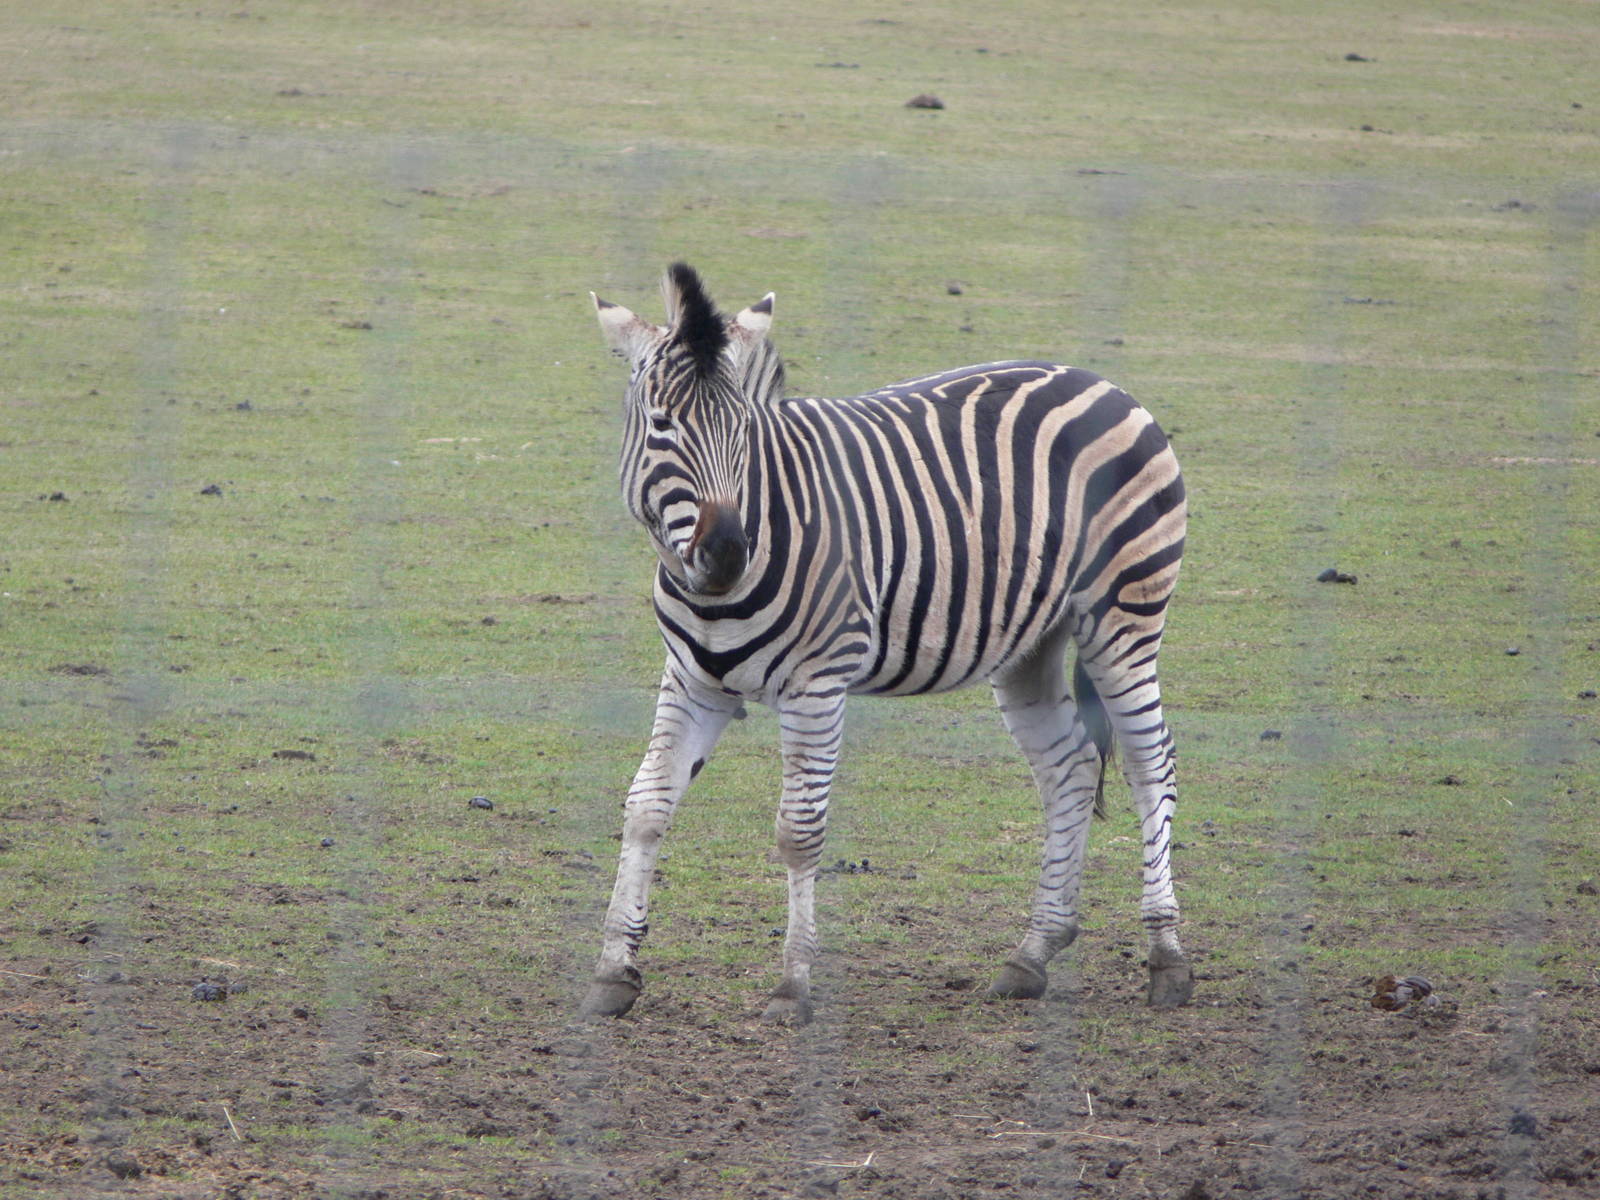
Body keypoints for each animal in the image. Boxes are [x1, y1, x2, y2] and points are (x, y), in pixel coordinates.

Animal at [581, 263, 1191, 1025]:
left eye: (744, 429)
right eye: (662, 426)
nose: (726, 553)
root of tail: (1099, 381)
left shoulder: (818, 685)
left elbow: (798, 832)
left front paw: (793, 985)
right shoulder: (692, 682)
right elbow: (646, 807)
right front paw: (615, 970)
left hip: (1123, 616)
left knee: (1149, 766)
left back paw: (1167, 960)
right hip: (1031, 642)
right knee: (1070, 768)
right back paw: (1032, 955)